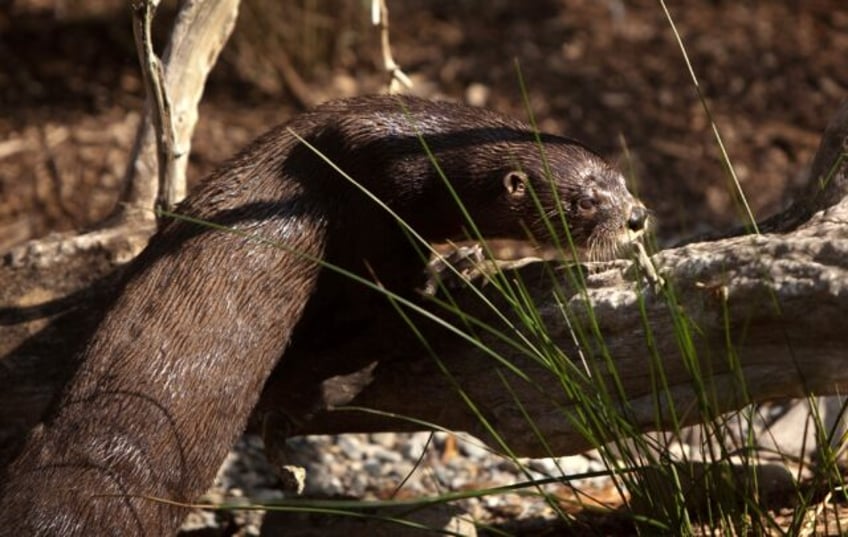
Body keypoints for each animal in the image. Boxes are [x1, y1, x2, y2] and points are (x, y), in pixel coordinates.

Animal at [0, 94, 644, 532]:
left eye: (621, 179)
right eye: (583, 202)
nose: (636, 216)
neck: (399, 147)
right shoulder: (378, 214)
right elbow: (398, 301)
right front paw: (457, 271)